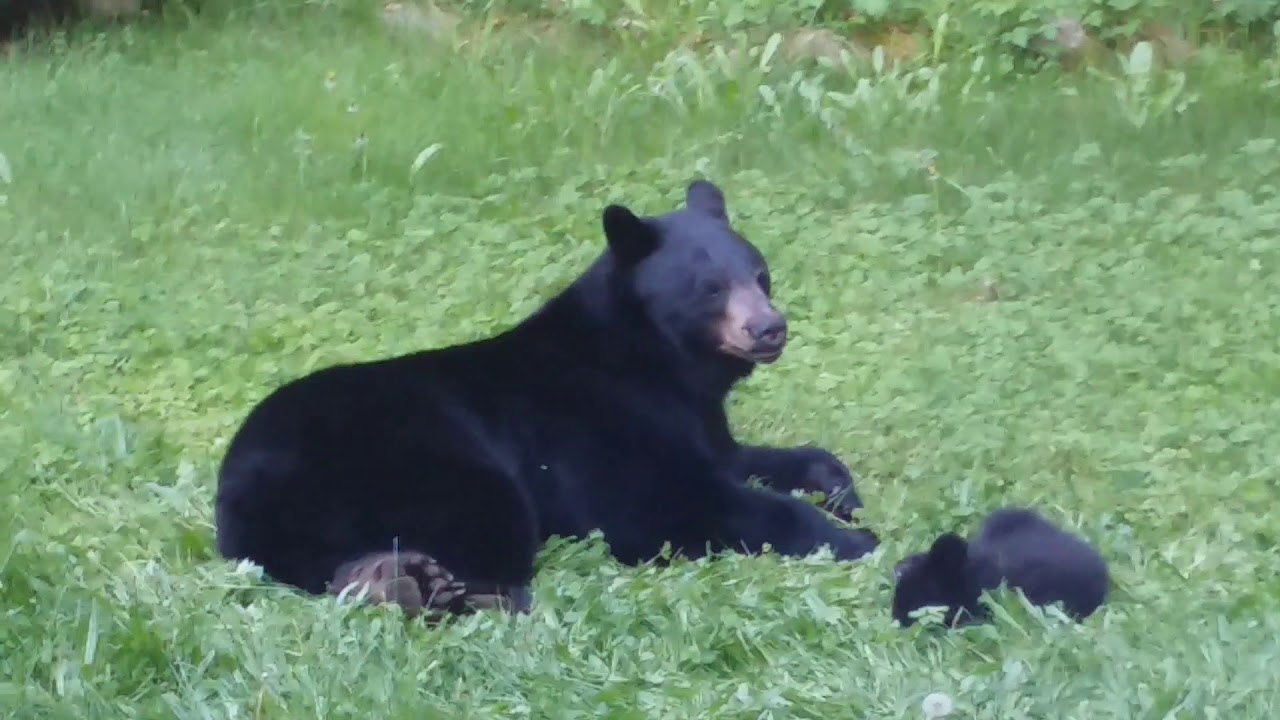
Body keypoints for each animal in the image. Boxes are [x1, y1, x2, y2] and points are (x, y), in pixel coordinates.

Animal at [213, 178, 879, 620]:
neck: (652, 357)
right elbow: (663, 502)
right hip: (411, 460)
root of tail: (239, 493)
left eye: (761, 275)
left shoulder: (693, 416)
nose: (769, 328)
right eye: (711, 286)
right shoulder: (594, 422)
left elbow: (745, 457)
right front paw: (855, 540)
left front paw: (842, 493)